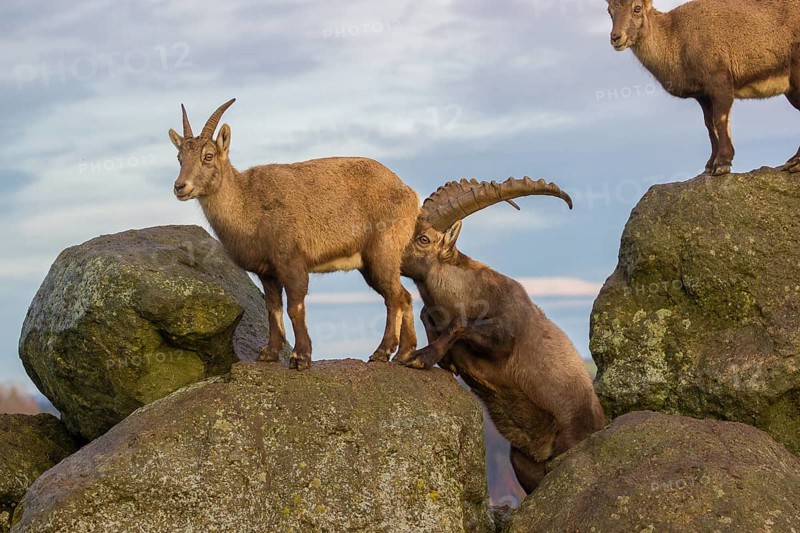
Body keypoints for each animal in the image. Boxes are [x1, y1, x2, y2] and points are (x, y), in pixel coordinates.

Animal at [168, 99, 419, 370]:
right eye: (180, 157)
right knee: (405, 296)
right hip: (370, 263)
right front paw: (269, 353)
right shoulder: (267, 271)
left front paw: (300, 357)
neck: (247, 202)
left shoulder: (291, 259)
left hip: (382, 251)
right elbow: (273, 308)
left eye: (208, 156)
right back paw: (405, 354)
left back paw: (383, 352)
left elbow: (295, 308)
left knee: (394, 297)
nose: (180, 186)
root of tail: (410, 193)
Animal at [397, 177, 606, 492]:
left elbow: (462, 324)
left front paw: (422, 357)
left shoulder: (504, 336)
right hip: (521, 461)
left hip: (569, 439)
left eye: (424, 239)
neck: (467, 293)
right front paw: (437, 356)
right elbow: (426, 316)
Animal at [607, 0, 800, 175]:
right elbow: (709, 124)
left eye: (637, 8)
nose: (616, 38)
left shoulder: (720, 82)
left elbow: (720, 120)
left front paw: (722, 164)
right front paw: (709, 164)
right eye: (610, 11)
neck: (675, 37)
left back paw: (795, 163)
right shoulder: (702, 94)